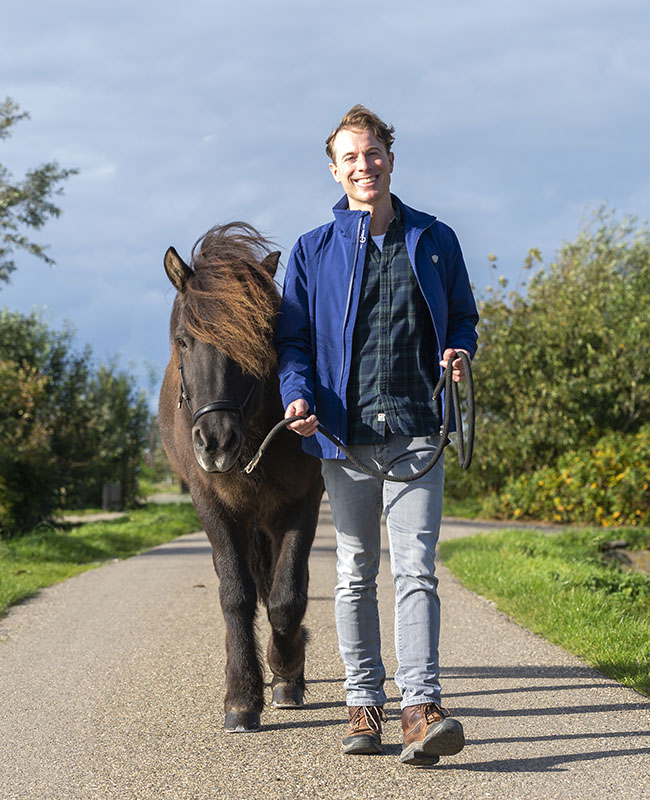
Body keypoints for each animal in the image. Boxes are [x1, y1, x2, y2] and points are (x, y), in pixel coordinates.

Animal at [158, 222, 324, 736]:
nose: (215, 443)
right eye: (184, 340)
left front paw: (286, 670)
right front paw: (241, 697)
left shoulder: (302, 502)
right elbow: (235, 595)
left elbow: (287, 594)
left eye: (260, 336)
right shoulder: (212, 505)